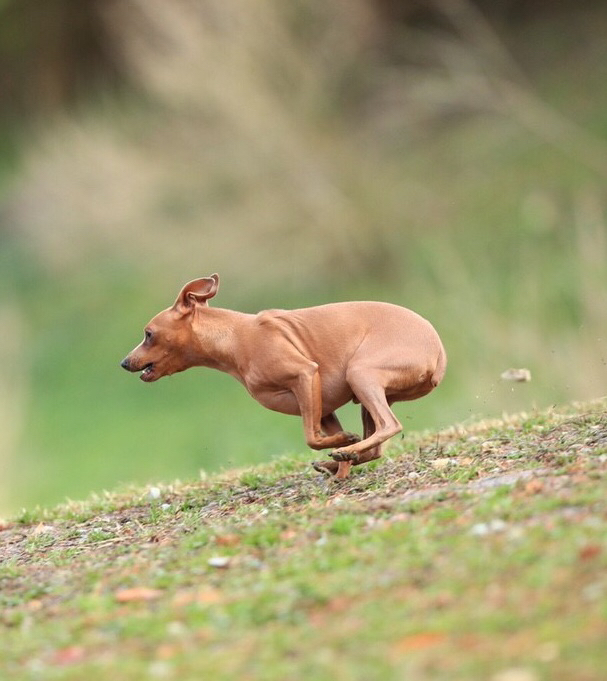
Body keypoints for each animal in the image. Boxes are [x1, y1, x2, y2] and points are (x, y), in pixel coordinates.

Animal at [122, 272, 446, 478]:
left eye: (148, 334)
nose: (124, 363)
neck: (236, 337)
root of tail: (439, 354)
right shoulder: (323, 409)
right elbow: (326, 437)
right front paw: (342, 461)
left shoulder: (305, 375)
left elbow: (311, 438)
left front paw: (343, 449)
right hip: (367, 392)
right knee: (375, 446)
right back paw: (345, 457)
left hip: (361, 374)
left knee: (389, 426)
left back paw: (347, 453)